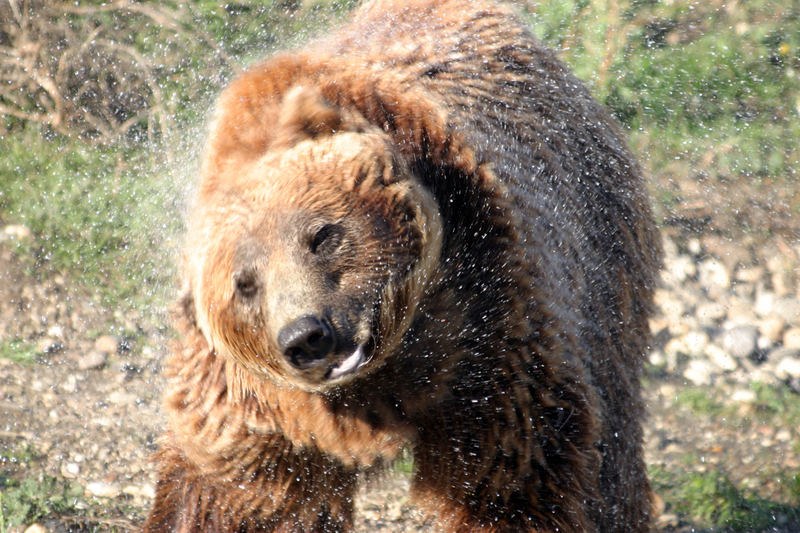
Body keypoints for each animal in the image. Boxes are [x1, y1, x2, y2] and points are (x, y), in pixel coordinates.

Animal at [144, 1, 664, 532]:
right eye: (245, 284)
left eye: (322, 235)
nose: (306, 336)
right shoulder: (252, 402)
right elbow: (240, 496)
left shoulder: (490, 324)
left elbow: (515, 474)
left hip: (600, 246)